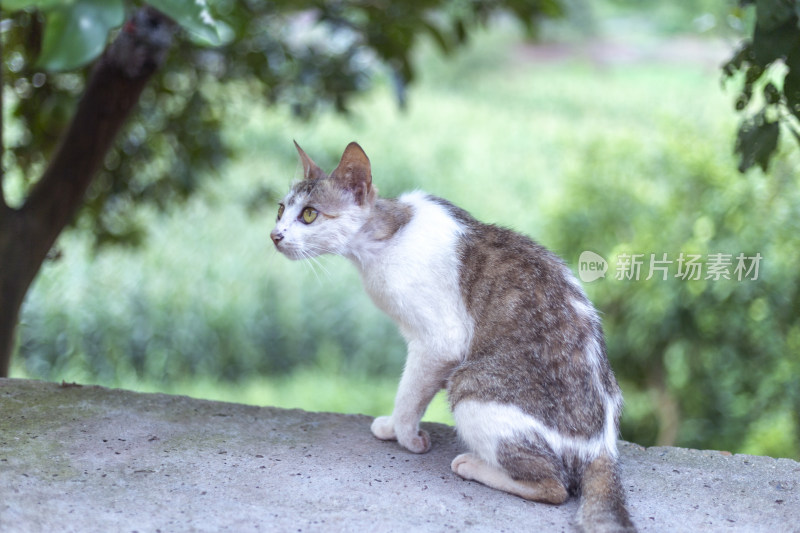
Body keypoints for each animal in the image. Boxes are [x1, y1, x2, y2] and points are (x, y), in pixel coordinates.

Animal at [272, 141, 636, 532]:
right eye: (280, 210)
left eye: (309, 215)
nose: (275, 235)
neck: (381, 242)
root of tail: (603, 446)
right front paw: (396, 428)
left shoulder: (438, 343)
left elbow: (409, 394)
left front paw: (404, 434)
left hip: (470, 385)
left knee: (554, 487)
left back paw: (474, 465)